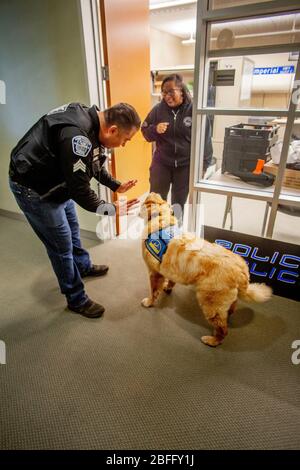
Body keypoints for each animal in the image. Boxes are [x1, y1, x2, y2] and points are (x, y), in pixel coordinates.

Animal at [141, 193, 272, 346]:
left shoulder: (154, 273)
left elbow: (153, 292)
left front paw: (149, 302)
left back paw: (212, 340)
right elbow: (171, 281)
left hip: (210, 303)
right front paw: (167, 287)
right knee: (231, 308)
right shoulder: (170, 270)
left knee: (223, 329)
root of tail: (242, 270)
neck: (161, 219)